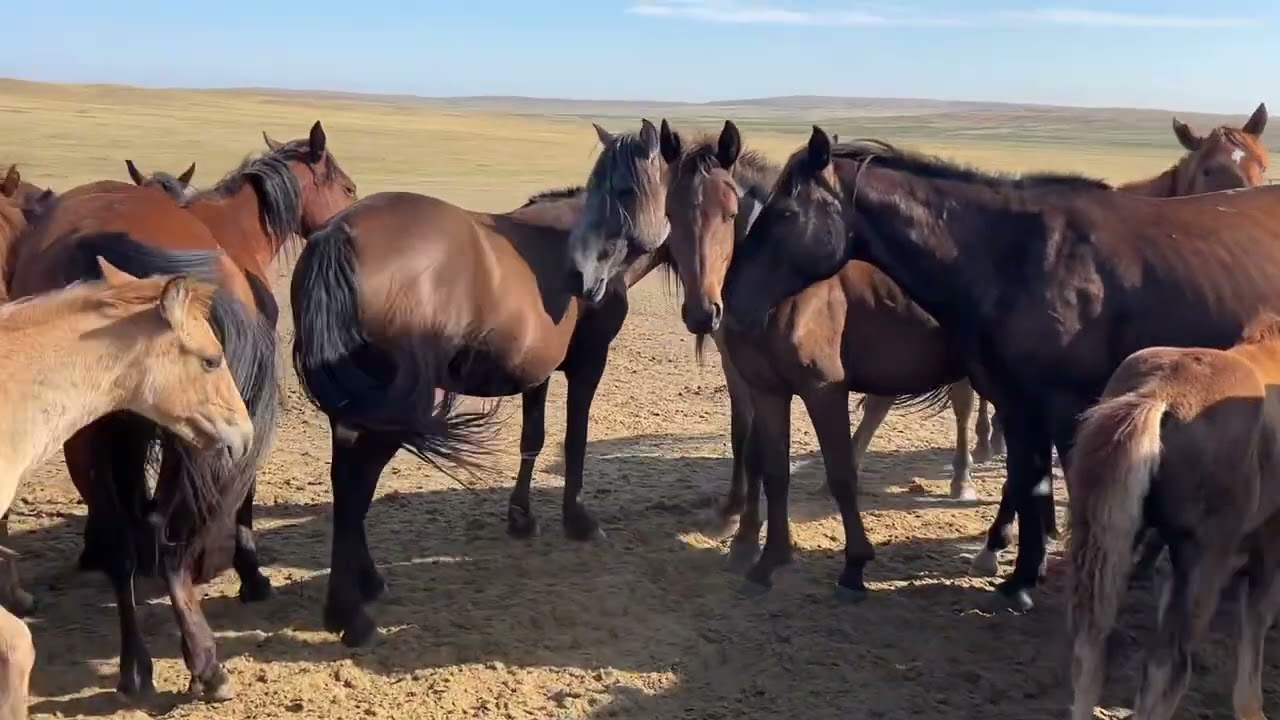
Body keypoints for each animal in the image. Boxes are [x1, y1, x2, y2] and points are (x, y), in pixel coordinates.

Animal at [289, 119, 672, 647]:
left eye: (624, 190)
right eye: (609, 188)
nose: (582, 276)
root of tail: (339, 232)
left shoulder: (536, 370)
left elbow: (534, 438)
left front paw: (522, 518)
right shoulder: (588, 362)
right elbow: (575, 439)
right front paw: (578, 520)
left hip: (355, 406)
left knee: (346, 483)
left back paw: (365, 584)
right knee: (355, 484)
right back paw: (349, 615)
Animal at [657, 120, 986, 557]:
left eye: (730, 214)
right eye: (670, 214)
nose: (702, 312)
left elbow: (756, 451)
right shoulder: (747, 375)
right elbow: (749, 445)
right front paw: (739, 527)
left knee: (963, 405)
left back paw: (962, 479)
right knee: (880, 406)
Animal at [723, 125, 1280, 612]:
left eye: (786, 211)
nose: (731, 301)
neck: (1016, 256)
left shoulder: (1065, 405)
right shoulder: (1015, 401)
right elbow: (1028, 478)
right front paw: (1021, 579)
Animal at [1068, 313, 1280, 720]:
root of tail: (1159, 394)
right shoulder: (1267, 543)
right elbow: (1256, 621)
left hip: (1108, 536)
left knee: (1091, 646)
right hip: (1205, 557)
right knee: (1169, 664)